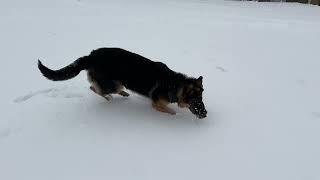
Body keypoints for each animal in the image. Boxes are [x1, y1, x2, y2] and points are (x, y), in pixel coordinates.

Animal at [37, 47, 208, 119]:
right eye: (195, 101)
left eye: (201, 99)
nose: (205, 114)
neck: (175, 84)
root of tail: (90, 56)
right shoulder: (156, 104)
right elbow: (169, 111)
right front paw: (175, 115)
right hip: (113, 83)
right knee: (94, 88)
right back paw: (109, 98)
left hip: (117, 82)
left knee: (97, 87)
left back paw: (124, 94)